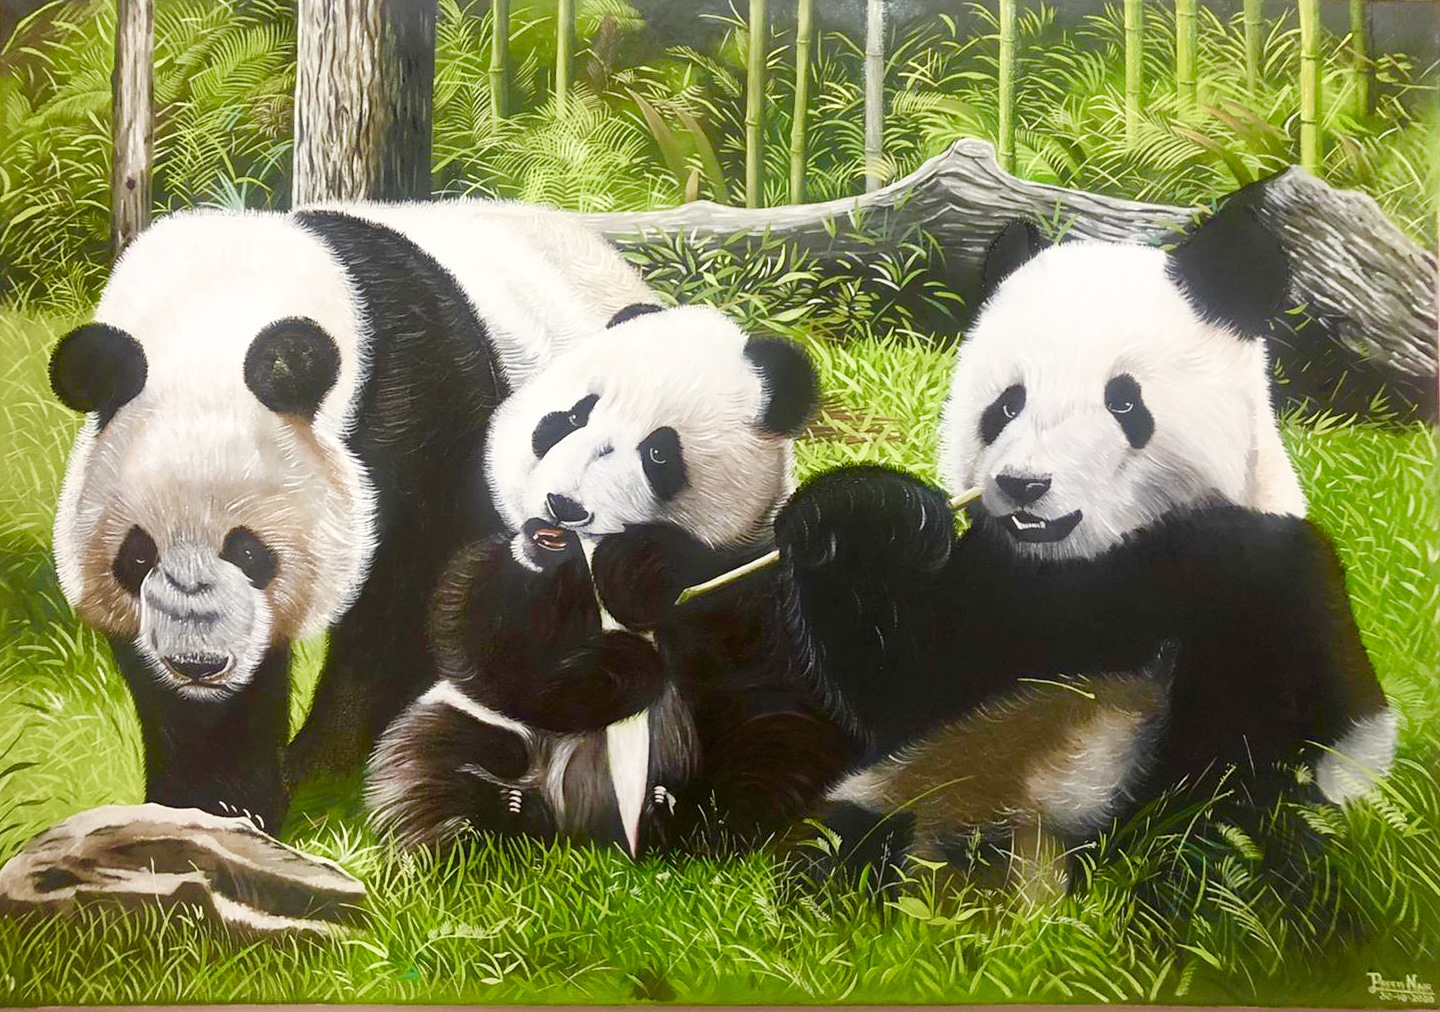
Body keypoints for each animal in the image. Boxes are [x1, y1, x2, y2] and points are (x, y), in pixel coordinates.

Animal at [48, 202, 655, 832]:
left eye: (250, 551)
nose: (199, 663)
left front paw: (319, 777)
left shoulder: (421, 406)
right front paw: (212, 804)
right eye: (137, 556)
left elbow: (409, 602)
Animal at [364, 304, 849, 855]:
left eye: (658, 453)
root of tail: (583, 829)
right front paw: (622, 662)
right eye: (573, 418)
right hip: (468, 725)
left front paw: (639, 571)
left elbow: (761, 655)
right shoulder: (485, 536)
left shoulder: (755, 567)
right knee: (428, 764)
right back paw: (487, 824)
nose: (563, 506)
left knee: (779, 748)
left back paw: (687, 818)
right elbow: (477, 632)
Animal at [770, 194, 1395, 893]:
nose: (1024, 485)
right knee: (848, 835)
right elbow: (907, 684)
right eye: (1006, 405)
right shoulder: (998, 593)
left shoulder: (1260, 576)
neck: (1090, 564)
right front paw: (867, 515)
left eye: (1123, 402)